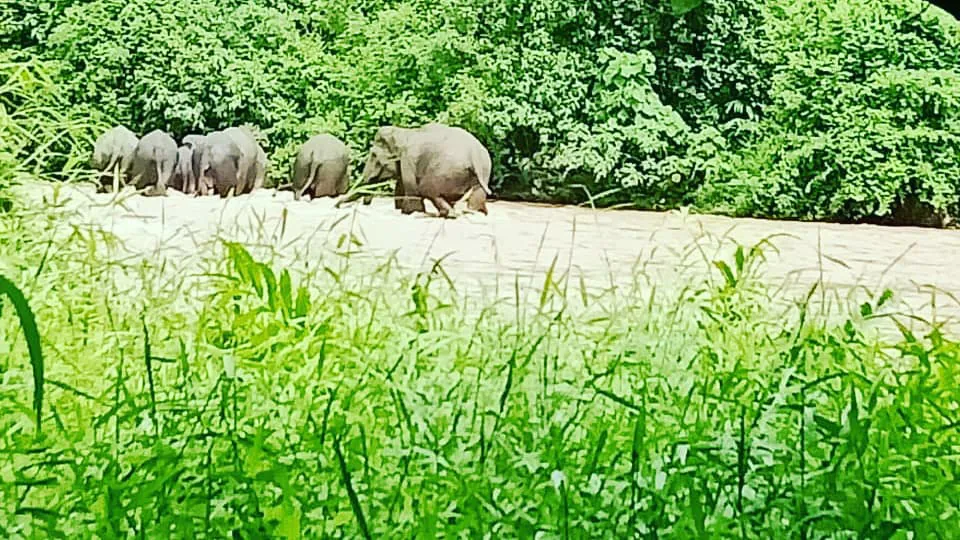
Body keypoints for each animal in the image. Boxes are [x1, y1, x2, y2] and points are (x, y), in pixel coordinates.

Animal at [362, 122, 496, 217]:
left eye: (373, 155)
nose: (365, 205)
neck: (404, 132)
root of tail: (474, 154)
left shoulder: (408, 158)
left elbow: (410, 187)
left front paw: (410, 212)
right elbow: (400, 186)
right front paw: (402, 210)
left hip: (444, 169)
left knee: (425, 189)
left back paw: (449, 213)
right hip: (484, 168)